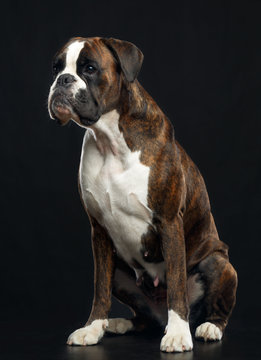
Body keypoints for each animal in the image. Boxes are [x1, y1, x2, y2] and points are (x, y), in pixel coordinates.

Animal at [46, 36, 236, 352]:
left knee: (214, 308)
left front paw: (178, 334)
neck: (110, 140)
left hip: (220, 264)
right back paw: (117, 324)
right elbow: (99, 289)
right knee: (142, 318)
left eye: (89, 68)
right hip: (121, 274)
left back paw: (208, 327)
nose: (62, 80)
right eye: (56, 68)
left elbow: (177, 286)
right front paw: (92, 327)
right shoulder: (98, 232)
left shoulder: (169, 223)